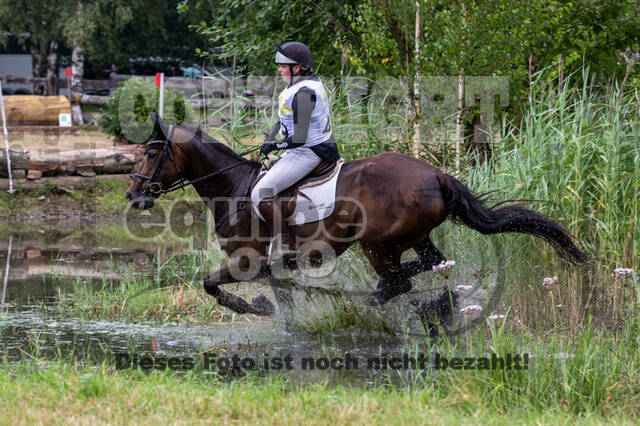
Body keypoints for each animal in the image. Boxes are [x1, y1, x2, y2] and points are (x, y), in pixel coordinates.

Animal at [126, 118, 592, 318]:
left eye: (150, 153)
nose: (133, 195)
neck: (235, 189)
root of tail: (435, 174)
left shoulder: (248, 261)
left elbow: (211, 285)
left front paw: (251, 306)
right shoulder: (272, 269)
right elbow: (280, 300)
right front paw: (273, 313)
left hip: (377, 244)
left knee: (399, 281)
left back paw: (369, 306)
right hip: (412, 237)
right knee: (429, 264)